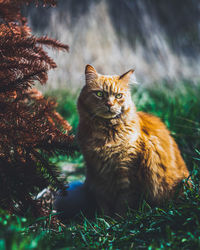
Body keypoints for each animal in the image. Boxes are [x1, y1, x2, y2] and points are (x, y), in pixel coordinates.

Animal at [77, 64, 189, 215]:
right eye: (99, 94)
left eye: (118, 96)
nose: (109, 104)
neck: (106, 135)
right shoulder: (97, 175)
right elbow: (104, 205)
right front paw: (105, 219)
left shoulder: (127, 173)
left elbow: (123, 204)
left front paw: (118, 219)